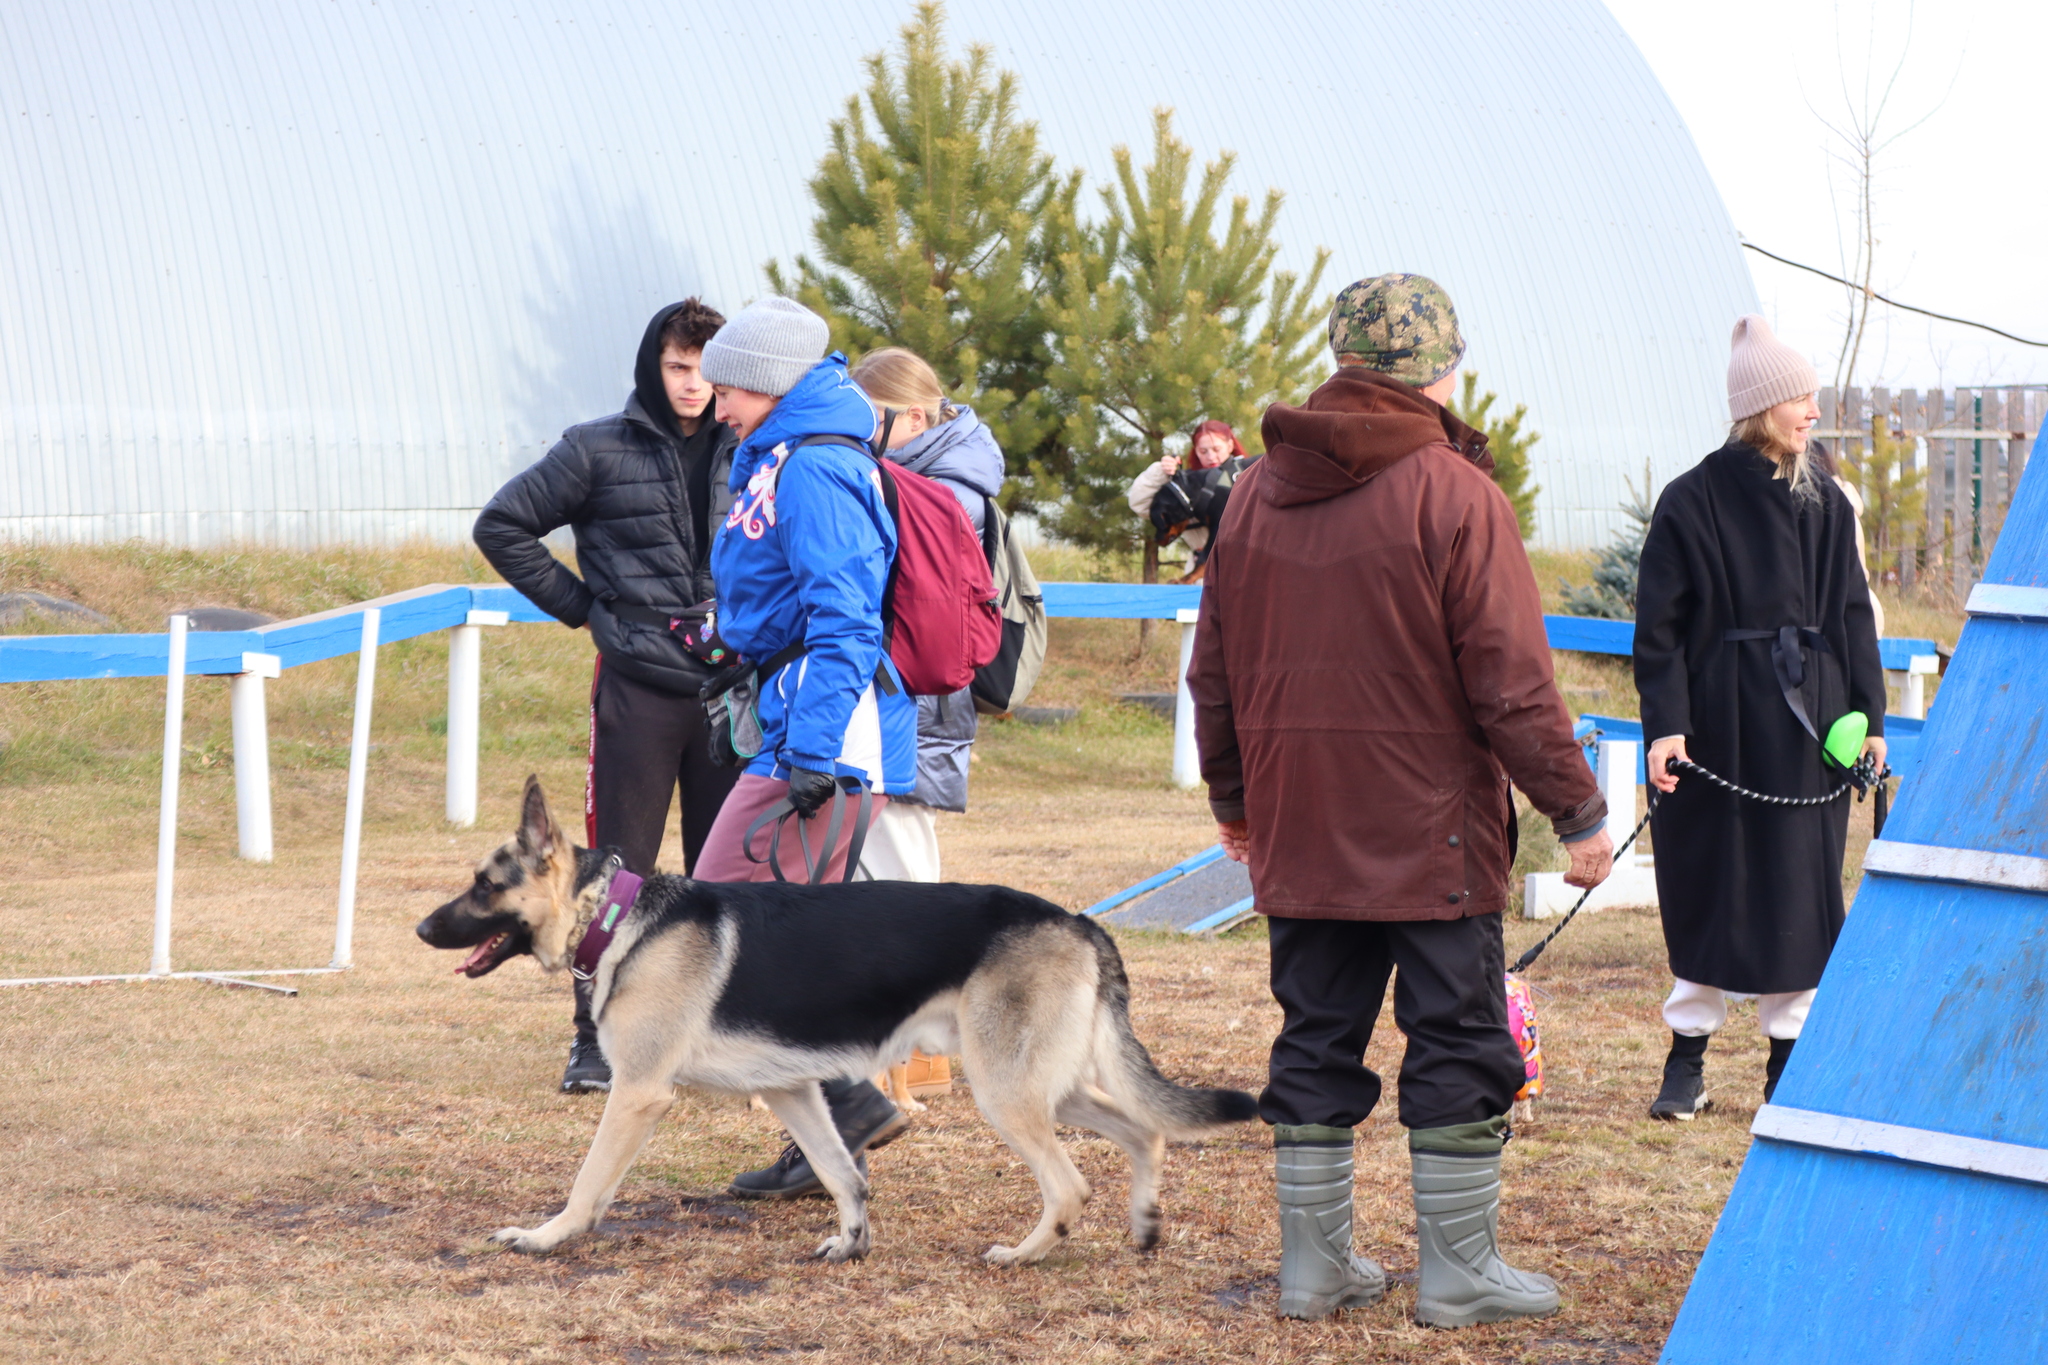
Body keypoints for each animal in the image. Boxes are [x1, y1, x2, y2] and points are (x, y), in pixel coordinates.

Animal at [415, 777, 1253, 1268]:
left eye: (484, 885)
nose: (421, 929)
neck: (617, 916)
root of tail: (1080, 921)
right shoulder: (792, 1091)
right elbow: (842, 1171)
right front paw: (853, 1241)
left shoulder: (638, 1093)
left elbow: (589, 1181)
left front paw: (547, 1236)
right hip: (1046, 1084)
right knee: (1145, 1130)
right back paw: (1144, 1223)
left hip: (1006, 1091)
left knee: (1071, 1182)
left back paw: (1025, 1252)